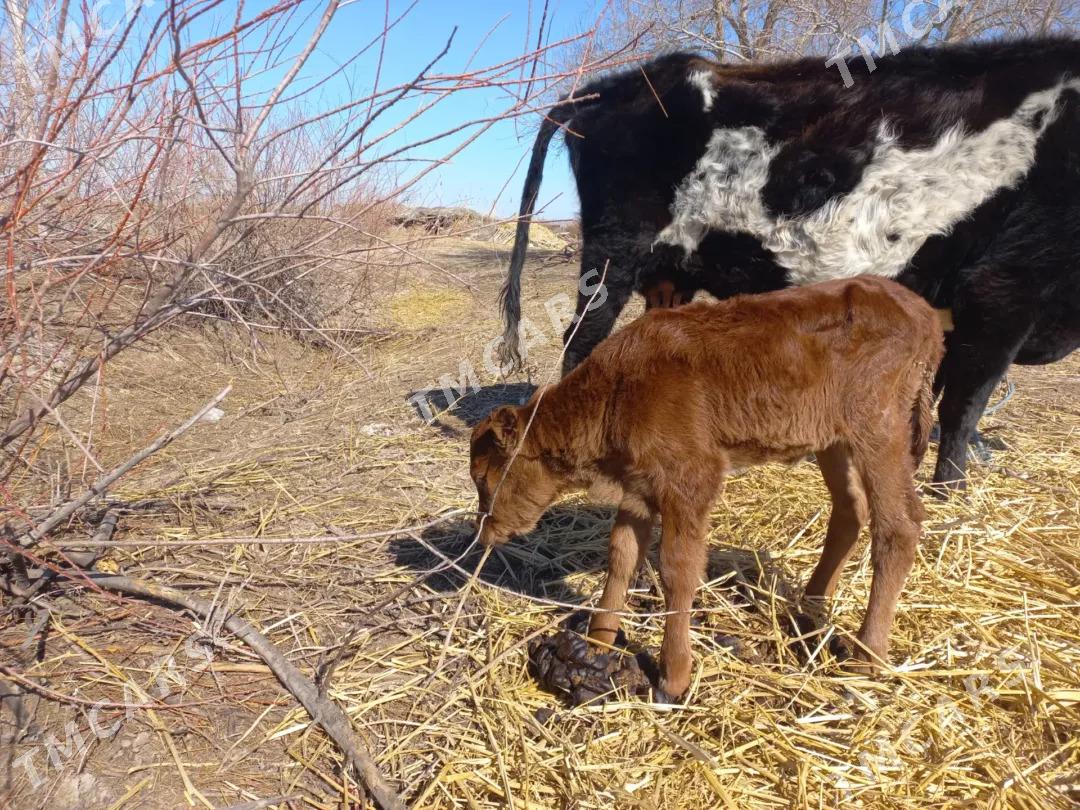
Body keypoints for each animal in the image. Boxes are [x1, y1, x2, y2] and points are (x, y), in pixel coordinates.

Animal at [468, 276, 941, 699]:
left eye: (485, 478)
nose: (483, 533)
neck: (617, 390)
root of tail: (924, 314)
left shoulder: (691, 476)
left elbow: (678, 567)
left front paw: (673, 676)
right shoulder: (640, 485)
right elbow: (621, 554)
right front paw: (598, 641)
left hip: (880, 430)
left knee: (899, 526)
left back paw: (868, 654)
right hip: (834, 440)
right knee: (850, 511)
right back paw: (811, 607)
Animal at [498, 36, 1080, 488]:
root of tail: (620, 83)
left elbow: (936, 397)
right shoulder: (1005, 287)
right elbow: (965, 402)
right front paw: (949, 493)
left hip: (668, 273)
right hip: (612, 253)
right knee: (580, 339)